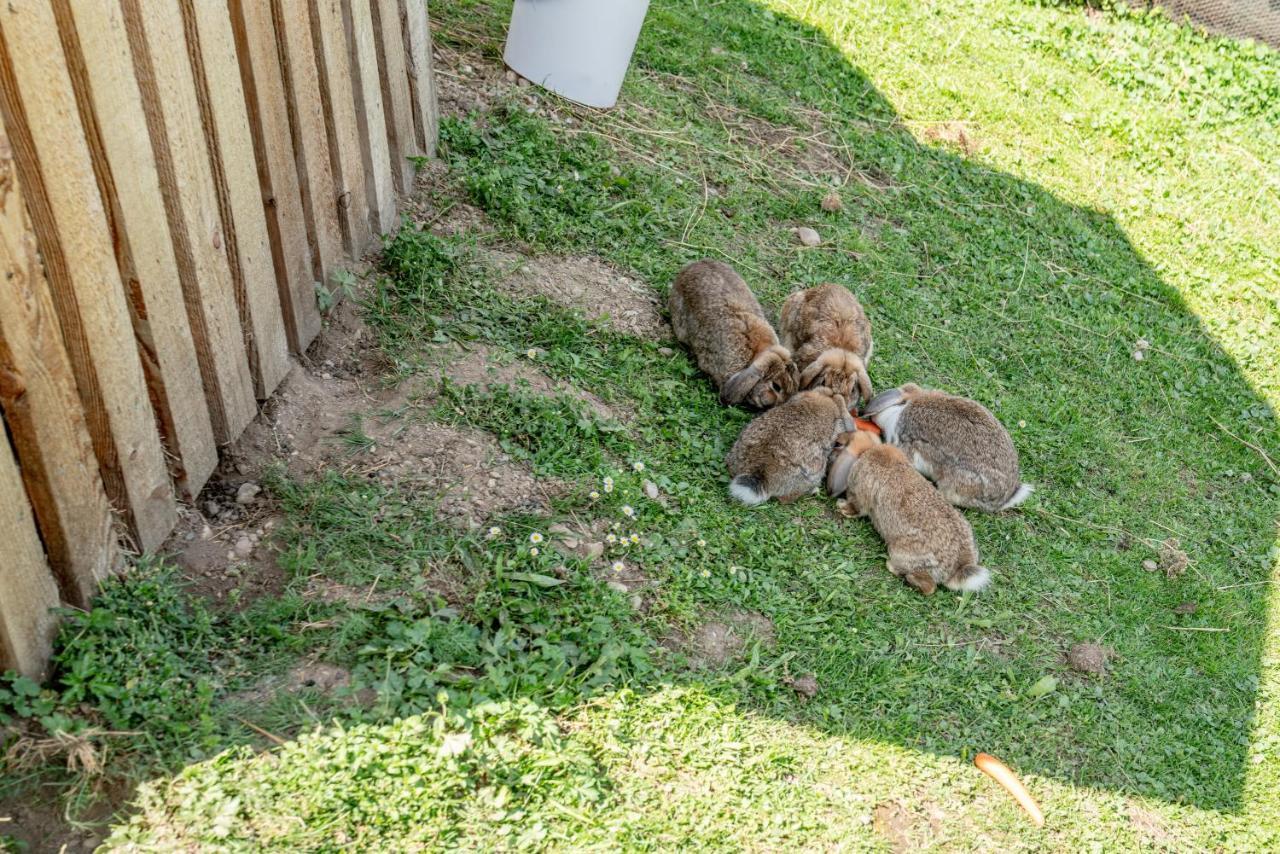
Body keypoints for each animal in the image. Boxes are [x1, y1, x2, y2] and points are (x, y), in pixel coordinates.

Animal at [829, 430, 988, 599]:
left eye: (838, 444)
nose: (837, 437)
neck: (868, 449)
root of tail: (956, 567)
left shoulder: (860, 494)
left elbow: (857, 507)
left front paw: (843, 508)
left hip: (902, 553)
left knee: (928, 587)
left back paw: (895, 569)